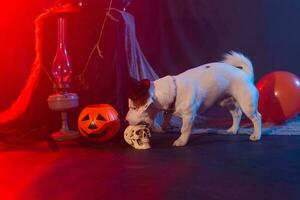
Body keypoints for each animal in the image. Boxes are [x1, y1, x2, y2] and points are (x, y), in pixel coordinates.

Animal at [125, 51, 262, 147]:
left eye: (134, 108)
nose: (126, 120)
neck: (174, 89)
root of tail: (245, 74)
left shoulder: (189, 116)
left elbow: (184, 129)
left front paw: (181, 141)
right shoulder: (169, 109)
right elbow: (167, 116)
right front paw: (166, 126)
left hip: (247, 104)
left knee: (257, 117)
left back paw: (256, 135)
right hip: (227, 102)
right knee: (236, 114)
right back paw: (233, 130)